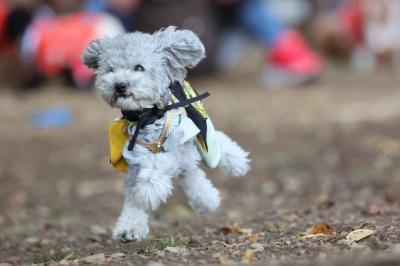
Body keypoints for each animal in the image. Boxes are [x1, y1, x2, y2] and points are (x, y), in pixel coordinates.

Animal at [82, 26, 250, 242]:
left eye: (139, 67)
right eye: (110, 70)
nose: (119, 85)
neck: (147, 117)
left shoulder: (179, 144)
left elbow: (158, 163)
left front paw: (150, 188)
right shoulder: (134, 158)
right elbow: (133, 196)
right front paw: (129, 227)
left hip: (199, 131)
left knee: (215, 143)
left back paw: (237, 162)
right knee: (190, 172)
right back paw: (206, 199)